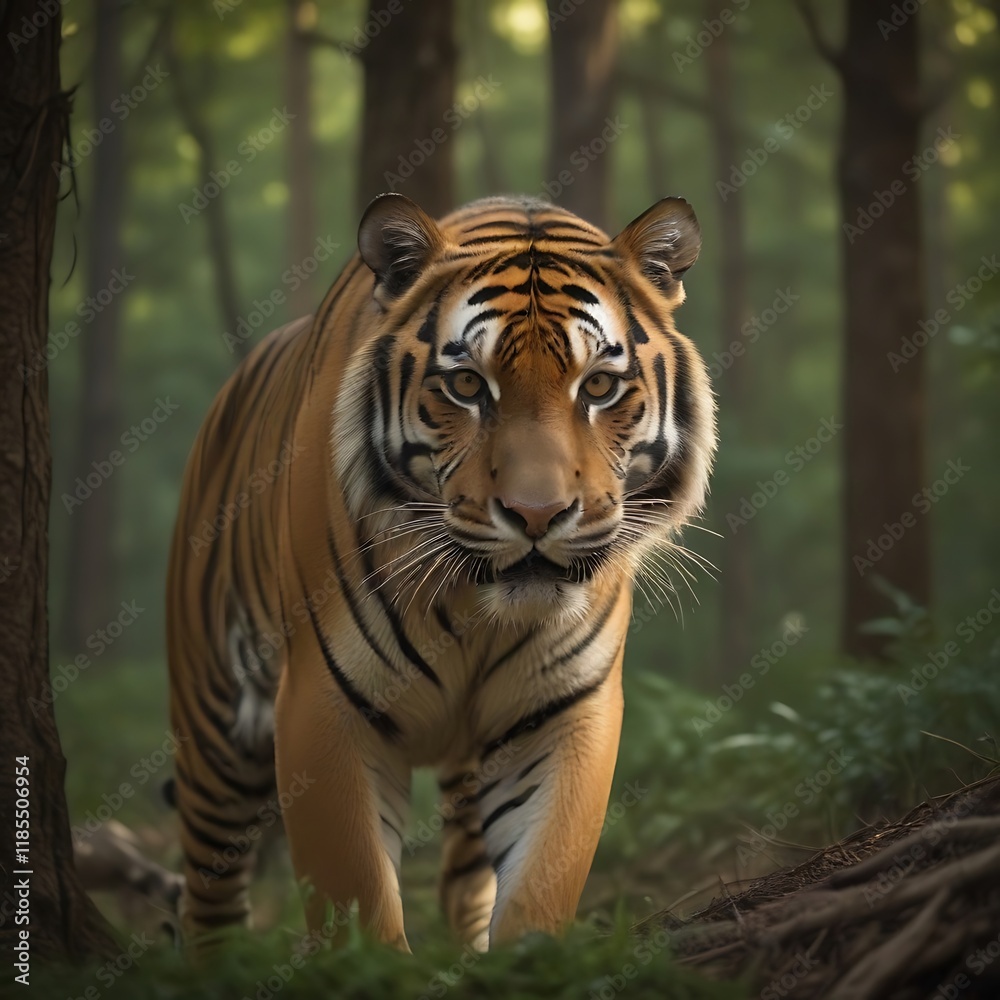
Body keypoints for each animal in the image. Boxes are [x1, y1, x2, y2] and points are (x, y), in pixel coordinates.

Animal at [166, 192, 716, 952]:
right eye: (466, 385)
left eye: (600, 386)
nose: (538, 513)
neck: (477, 607)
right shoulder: (323, 705)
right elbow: (357, 899)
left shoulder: (565, 706)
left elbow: (542, 883)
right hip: (213, 731)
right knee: (209, 902)